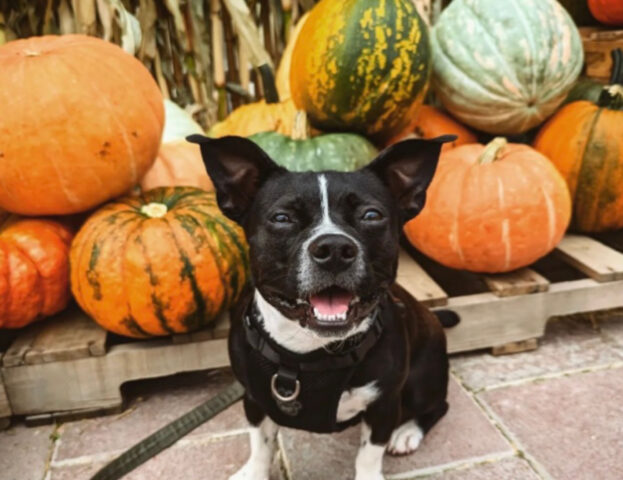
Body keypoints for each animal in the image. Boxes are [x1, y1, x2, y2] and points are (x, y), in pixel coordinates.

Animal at [190, 134, 458, 480]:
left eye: (371, 215)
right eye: (282, 218)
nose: (334, 248)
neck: (308, 353)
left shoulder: (384, 404)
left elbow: (369, 454)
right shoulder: (254, 398)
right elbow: (260, 442)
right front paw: (254, 472)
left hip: (421, 381)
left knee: (437, 406)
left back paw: (407, 432)